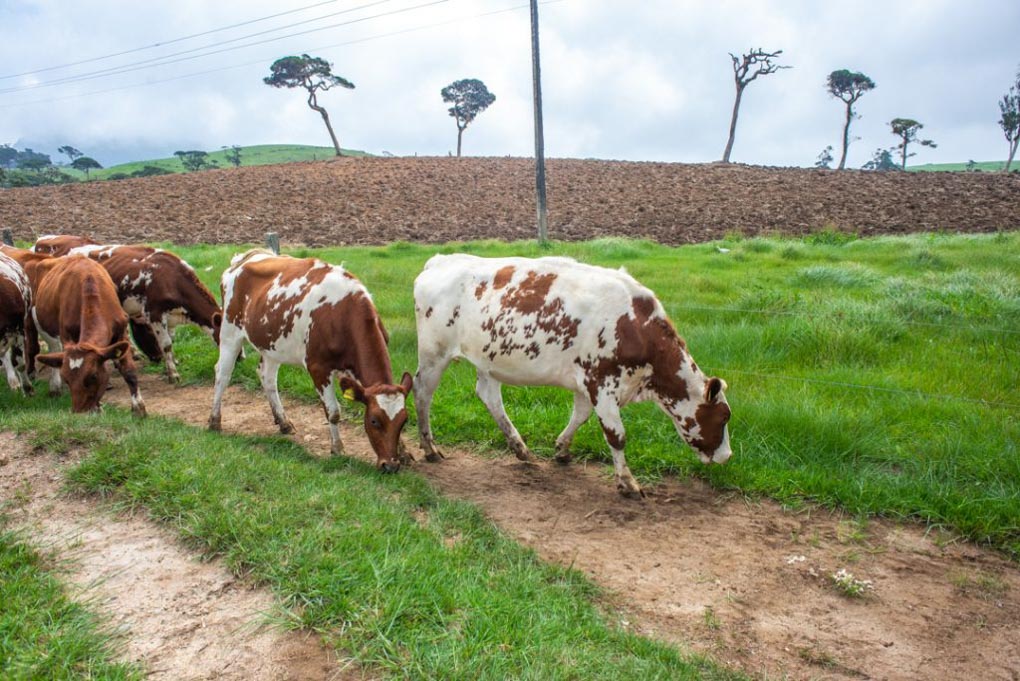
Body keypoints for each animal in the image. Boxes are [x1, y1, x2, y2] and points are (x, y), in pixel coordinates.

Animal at [27, 255, 146, 415]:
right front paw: (98, 407)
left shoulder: (121, 332)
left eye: (93, 376)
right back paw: (54, 387)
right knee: (52, 348)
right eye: (67, 379)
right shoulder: (67, 336)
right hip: (37, 321)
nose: (80, 412)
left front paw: (139, 408)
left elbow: (129, 371)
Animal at [64, 244, 223, 384]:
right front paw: (173, 374)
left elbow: (171, 341)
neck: (173, 279)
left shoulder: (172, 317)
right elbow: (166, 344)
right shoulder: (155, 314)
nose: (237, 358)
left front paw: (172, 363)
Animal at [208, 250, 413, 472]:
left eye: (404, 421)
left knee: (267, 377)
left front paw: (403, 452)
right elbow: (333, 412)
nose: (389, 465)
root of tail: (246, 256)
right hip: (230, 332)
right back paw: (214, 421)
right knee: (222, 374)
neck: (342, 314)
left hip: (272, 344)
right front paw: (337, 449)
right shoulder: (318, 368)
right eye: (374, 421)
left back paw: (283, 422)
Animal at [413, 254, 732, 498]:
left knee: (489, 396)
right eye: (723, 417)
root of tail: (440, 260)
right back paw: (429, 447)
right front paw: (627, 482)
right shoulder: (602, 383)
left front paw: (562, 450)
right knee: (422, 393)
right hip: (434, 354)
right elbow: (616, 435)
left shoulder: (586, 383)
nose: (727, 456)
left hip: (487, 357)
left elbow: (580, 416)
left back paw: (521, 449)